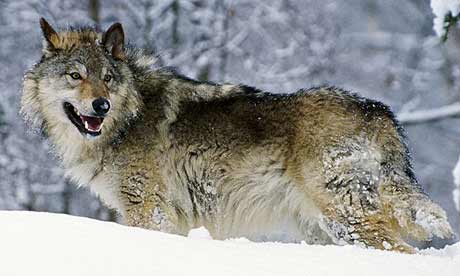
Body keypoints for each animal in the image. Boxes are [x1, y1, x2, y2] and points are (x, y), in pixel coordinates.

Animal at [21, 18, 452, 252]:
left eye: (107, 78)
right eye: (75, 76)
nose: (101, 106)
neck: (127, 118)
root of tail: (377, 110)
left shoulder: (148, 211)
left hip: (345, 221)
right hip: (322, 229)